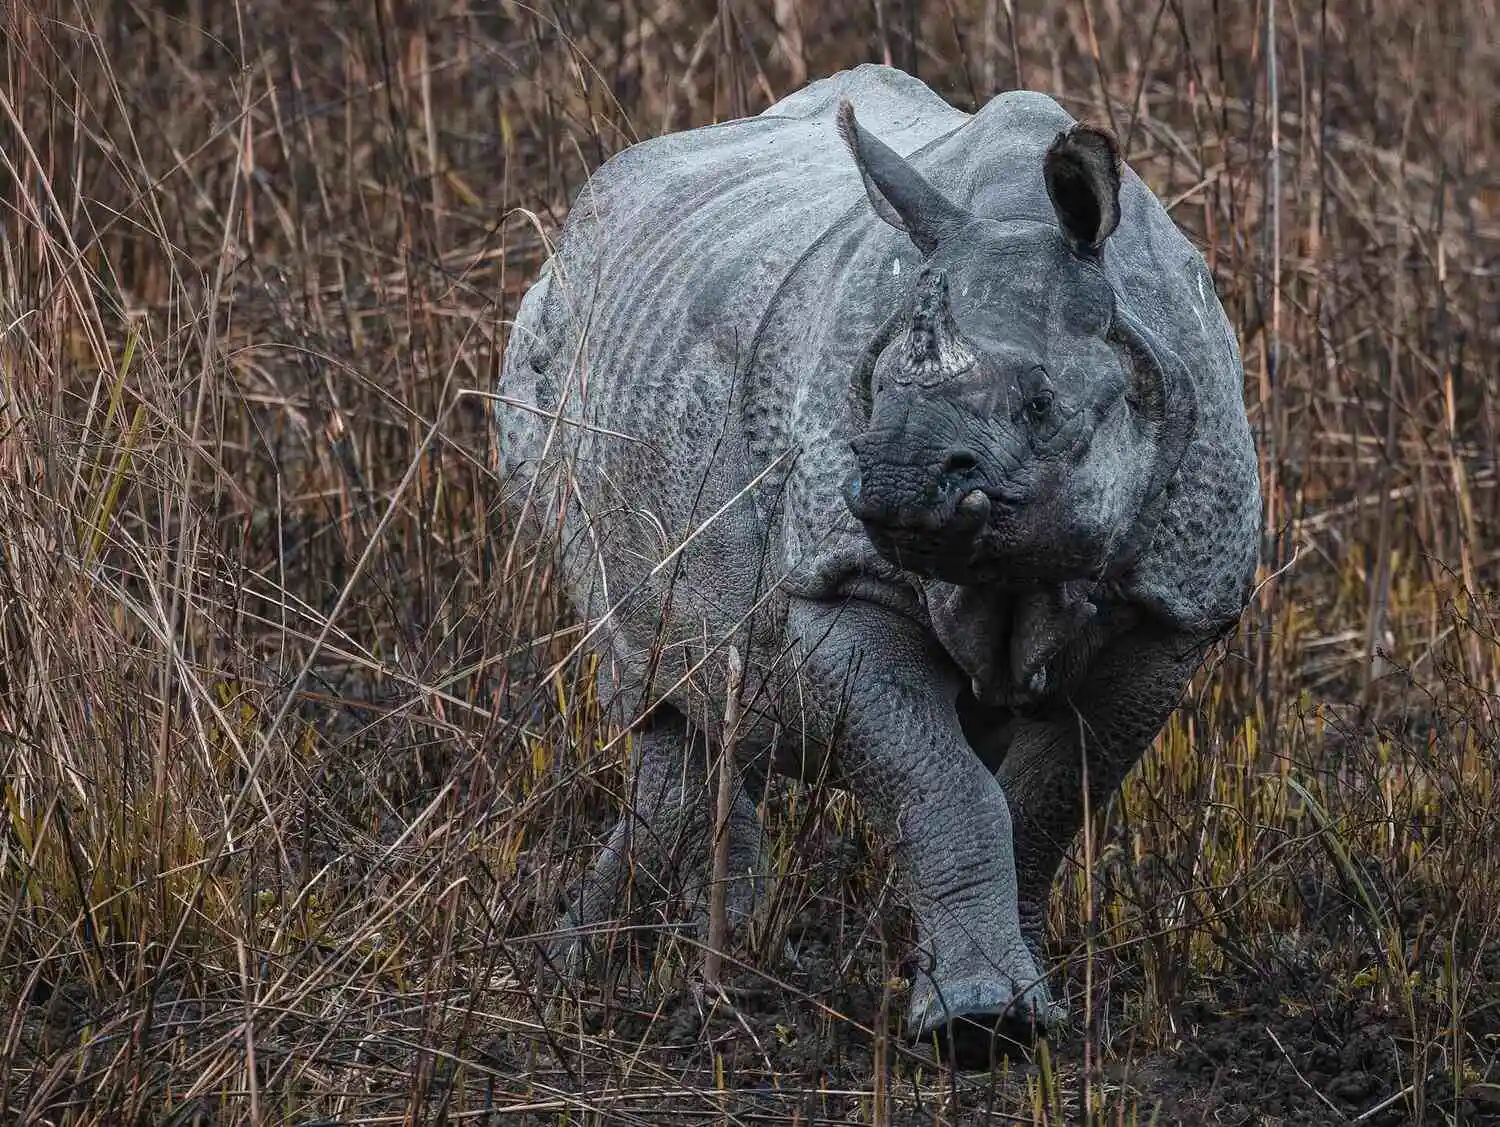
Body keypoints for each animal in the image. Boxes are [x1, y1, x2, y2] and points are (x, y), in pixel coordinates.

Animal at [498, 63, 1260, 1068]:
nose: (893, 479)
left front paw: (1012, 1021)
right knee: (654, 681)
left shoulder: (1172, 612)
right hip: (549, 369)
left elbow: (1048, 800)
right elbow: (939, 785)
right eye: (879, 390)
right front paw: (978, 1024)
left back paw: (607, 963)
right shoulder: (841, 579)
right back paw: (684, 965)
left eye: (1043, 405)